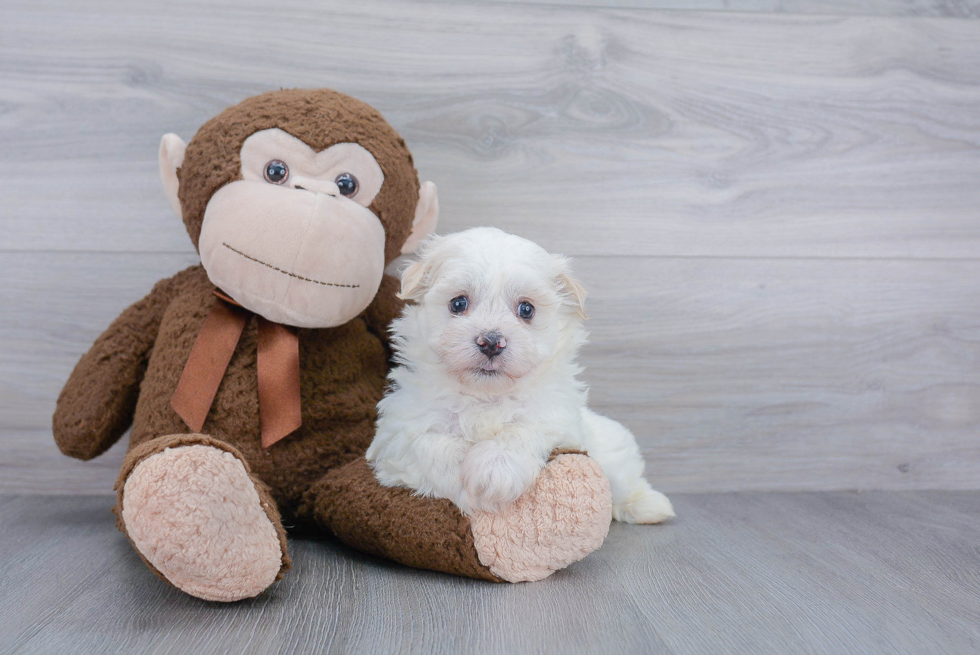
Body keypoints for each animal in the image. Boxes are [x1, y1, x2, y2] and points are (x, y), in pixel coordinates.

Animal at [368, 228, 672, 524]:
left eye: (526, 309)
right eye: (458, 303)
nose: (491, 342)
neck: (485, 396)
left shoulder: (557, 419)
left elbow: (523, 428)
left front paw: (495, 470)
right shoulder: (397, 434)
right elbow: (431, 444)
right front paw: (467, 483)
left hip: (613, 451)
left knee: (624, 481)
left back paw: (649, 507)